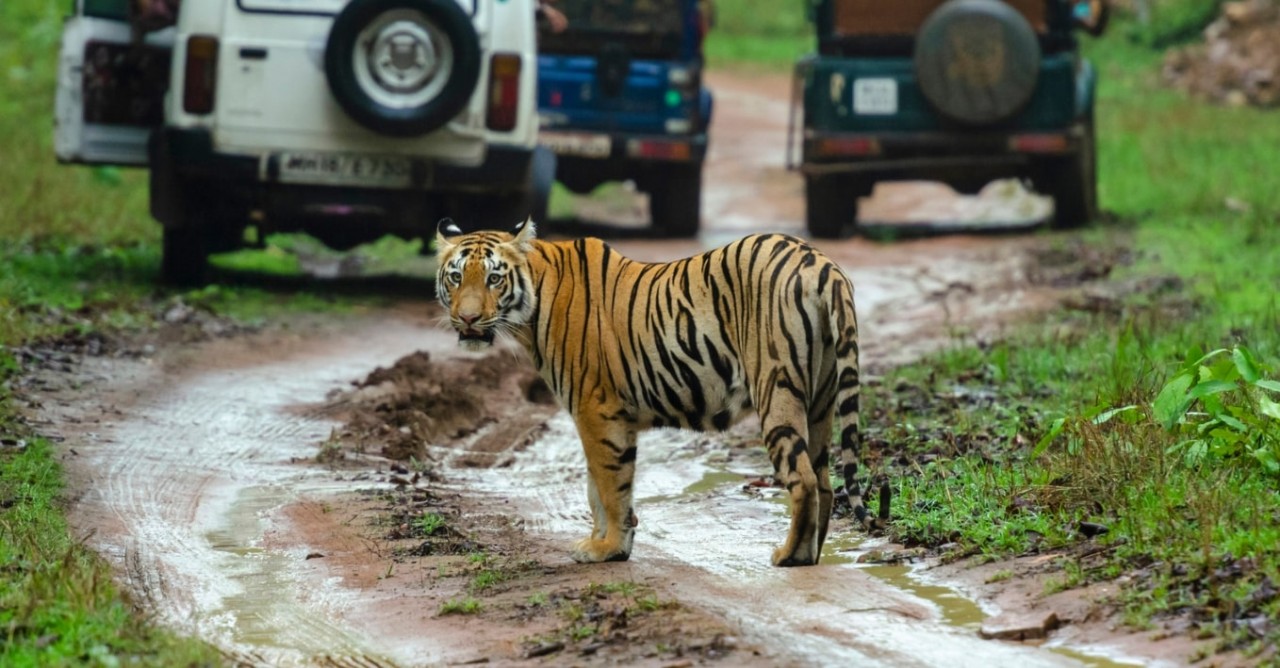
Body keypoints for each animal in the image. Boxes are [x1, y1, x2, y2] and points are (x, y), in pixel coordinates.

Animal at [435, 220, 885, 565]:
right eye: (456, 277)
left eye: (494, 278)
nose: (468, 319)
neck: (533, 306)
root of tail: (821, 263)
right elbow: (598, 486)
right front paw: (606, 542)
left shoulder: (596, 410)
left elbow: (608, 486)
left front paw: (608, 548)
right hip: (822, 399)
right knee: (825, 481)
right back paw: (811, 554)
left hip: (777, 389)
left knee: (803, 479)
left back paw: (789, 556)